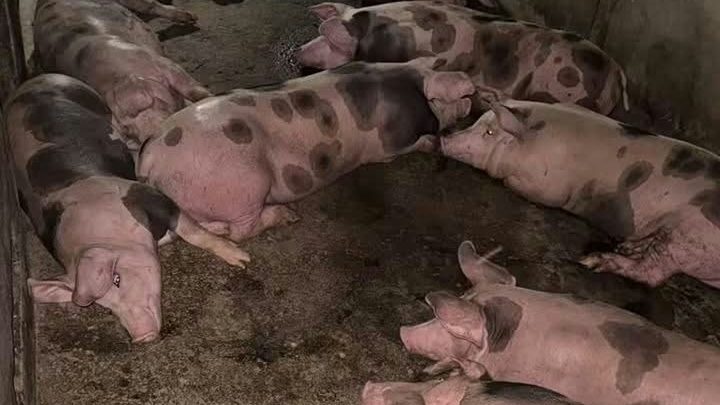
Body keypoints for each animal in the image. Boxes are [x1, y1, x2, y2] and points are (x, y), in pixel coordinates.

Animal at [6, 74, 250, 342]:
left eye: (117, 278)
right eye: (104, 305)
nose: (142, 336)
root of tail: (38, 79)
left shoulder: (147, 196)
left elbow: (194, 233)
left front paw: (242, 259)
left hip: (96, 102)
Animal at [33, 0, 211, 148]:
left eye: (149, 103)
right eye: (127, 129)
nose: (147, 138)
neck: (118, 78)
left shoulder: (162, 64)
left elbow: (192, 89)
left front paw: (208, 98)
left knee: (149, 5)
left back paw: (190, 18)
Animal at [137, 58, 475, 245]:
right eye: (458, 97)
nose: (472, 101)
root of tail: (151, 159)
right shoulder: (388, 146)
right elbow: (412, 145)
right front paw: (433, 142)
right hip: (245, 184)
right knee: (241, 232)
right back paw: (287, 216)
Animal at [439, 98, 720, 290]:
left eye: (489, 132)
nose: (444, 136)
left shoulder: (547, 187)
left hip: (689, 238)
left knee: (653, 273)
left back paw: (593, 261)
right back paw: (626, 247)